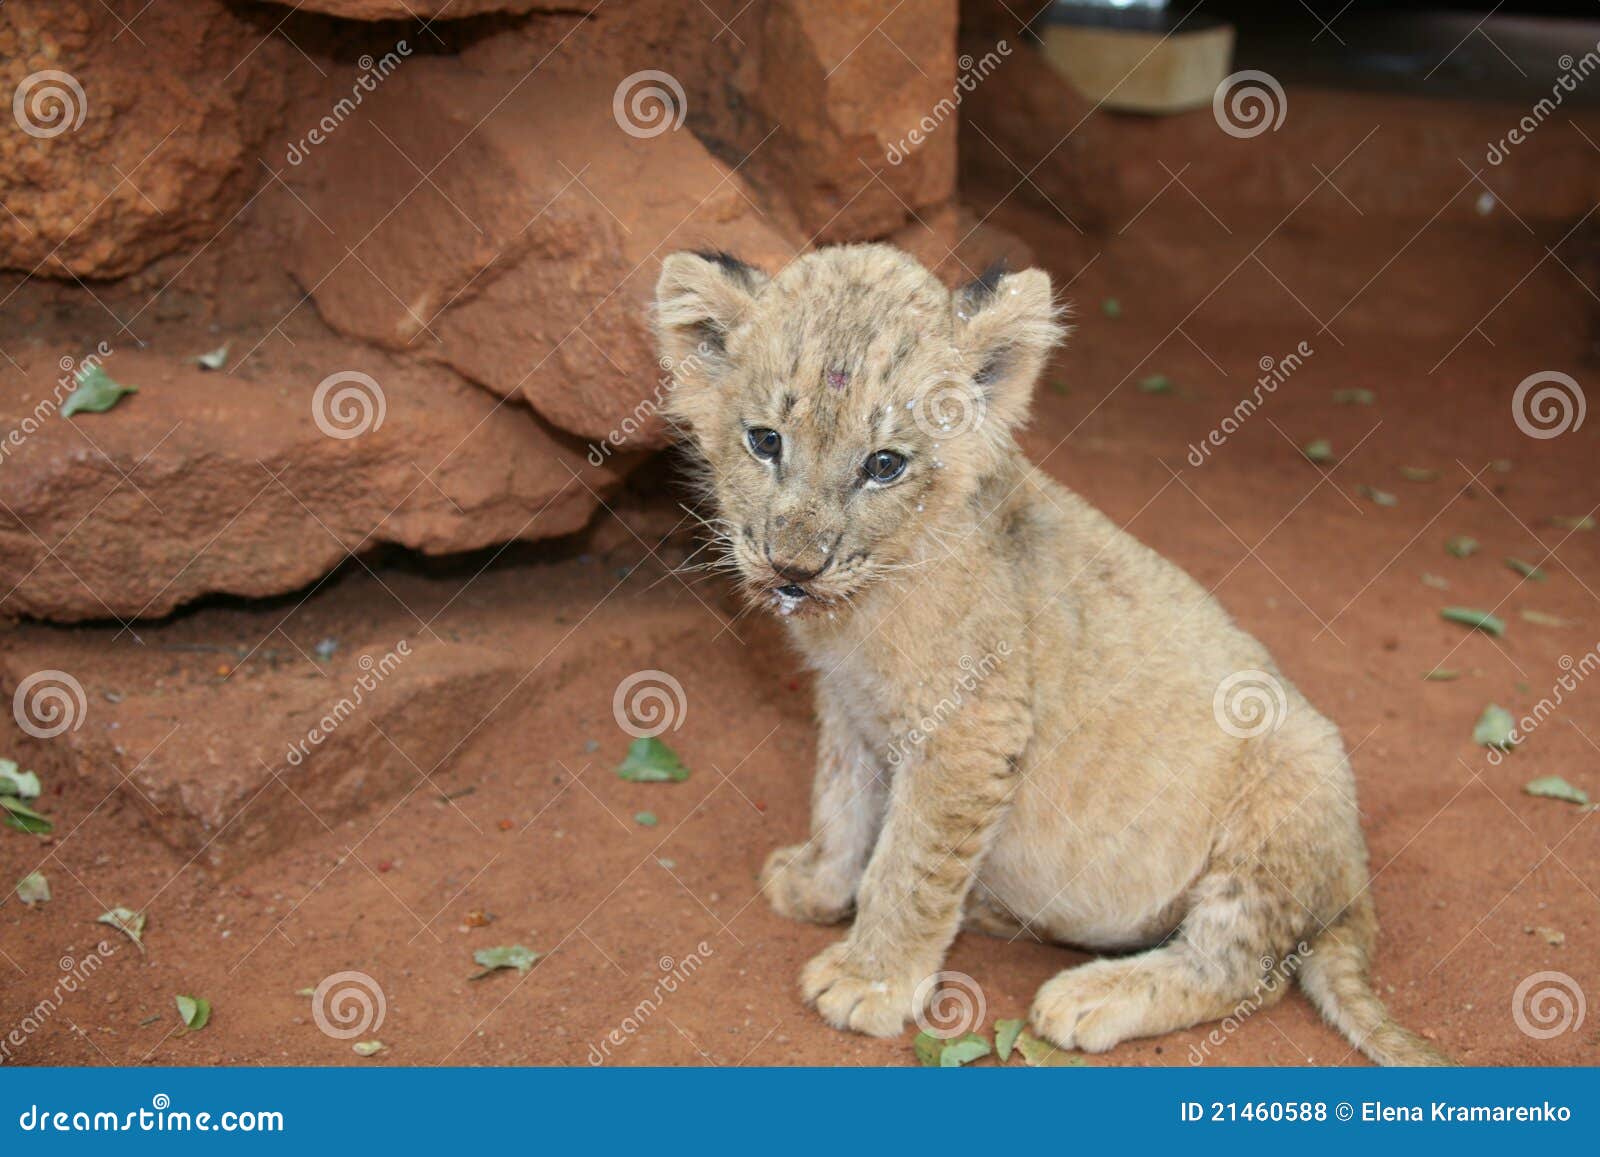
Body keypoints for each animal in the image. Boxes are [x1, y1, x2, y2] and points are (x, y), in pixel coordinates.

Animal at [652, 243, 1446, 1065]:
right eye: (765, 441)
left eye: (884, 465)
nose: (793, 569)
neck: (858, 609)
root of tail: (1354, 885)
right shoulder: (849, 709)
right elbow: (839, 806)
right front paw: (813, 885)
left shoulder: (971, 729)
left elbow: (909, 867)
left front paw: (871, 981)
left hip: (1289, 785)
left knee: (1240, 968)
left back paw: (1091, 994)